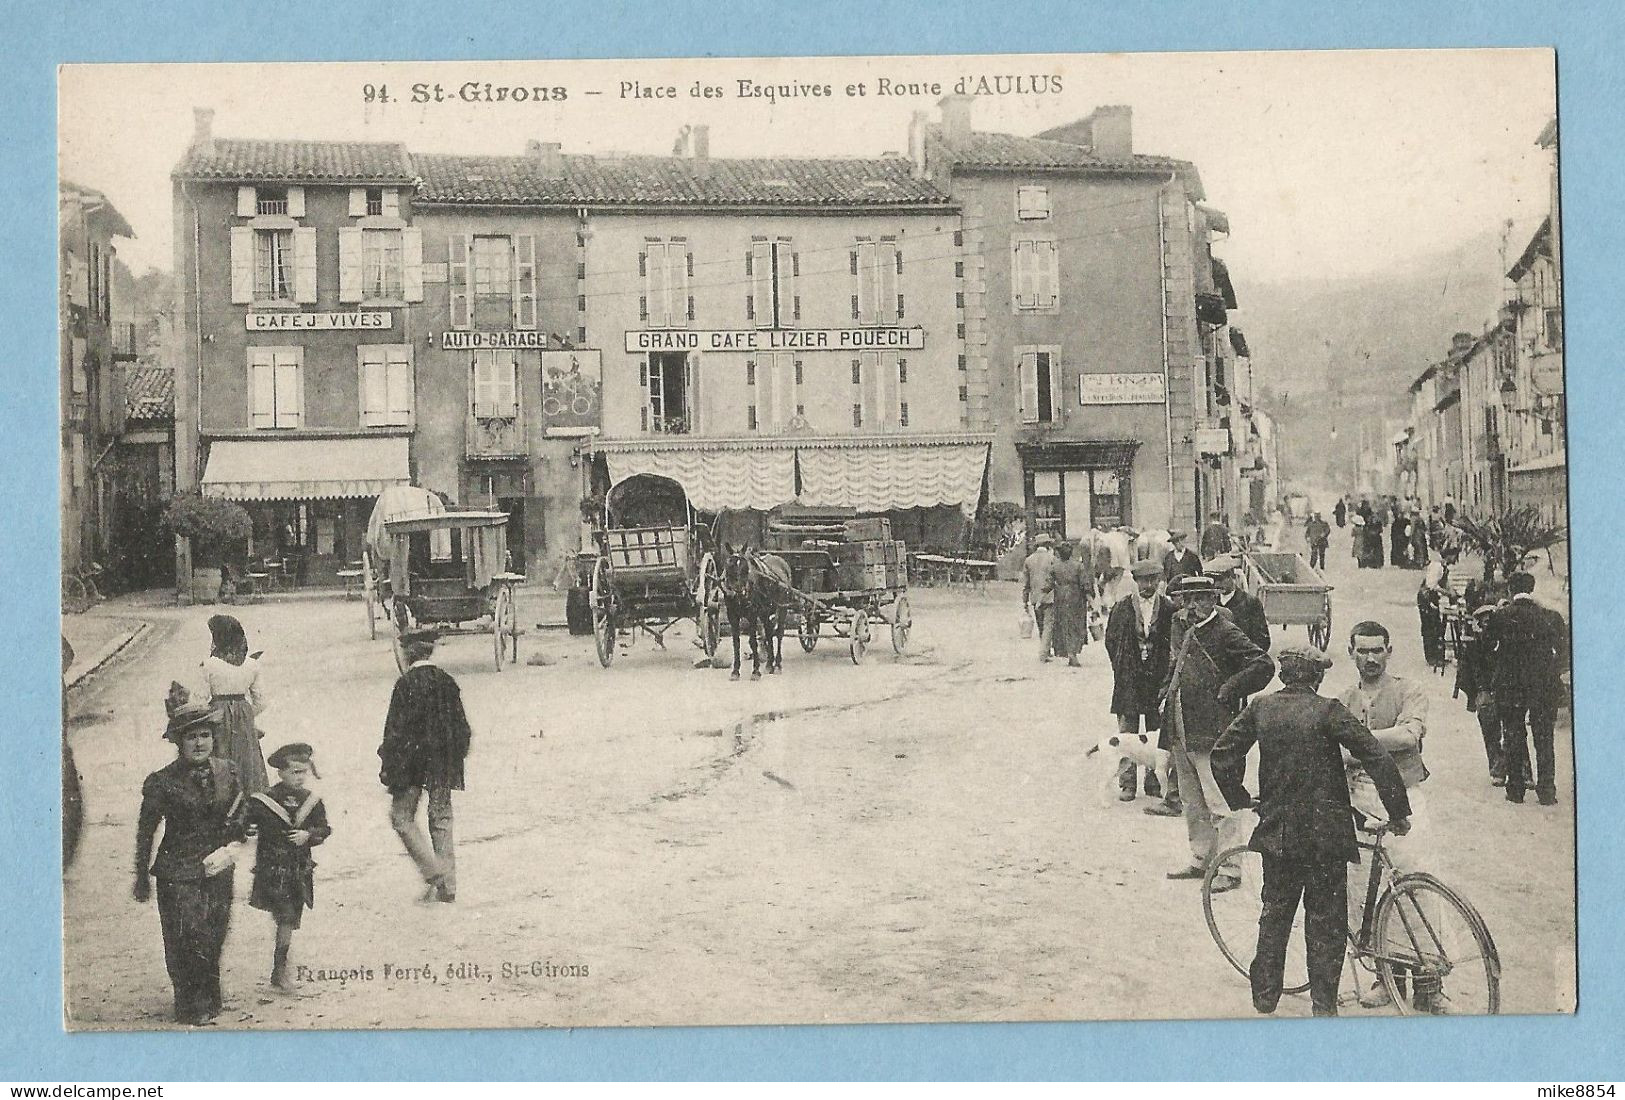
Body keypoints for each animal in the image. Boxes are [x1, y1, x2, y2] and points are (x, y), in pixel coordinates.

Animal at [721, 542, 789, 679]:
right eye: (729, 566)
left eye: (746, 568)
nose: (740, 592)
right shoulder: (732, 616)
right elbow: (736, 642)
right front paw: (735, 671)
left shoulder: (752, 614)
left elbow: (753, 642)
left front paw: (755, 671)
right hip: (765, 612)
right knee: (768, 632)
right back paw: (769, 665)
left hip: (782, 608)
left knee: (779, 633)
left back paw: (777, 665)